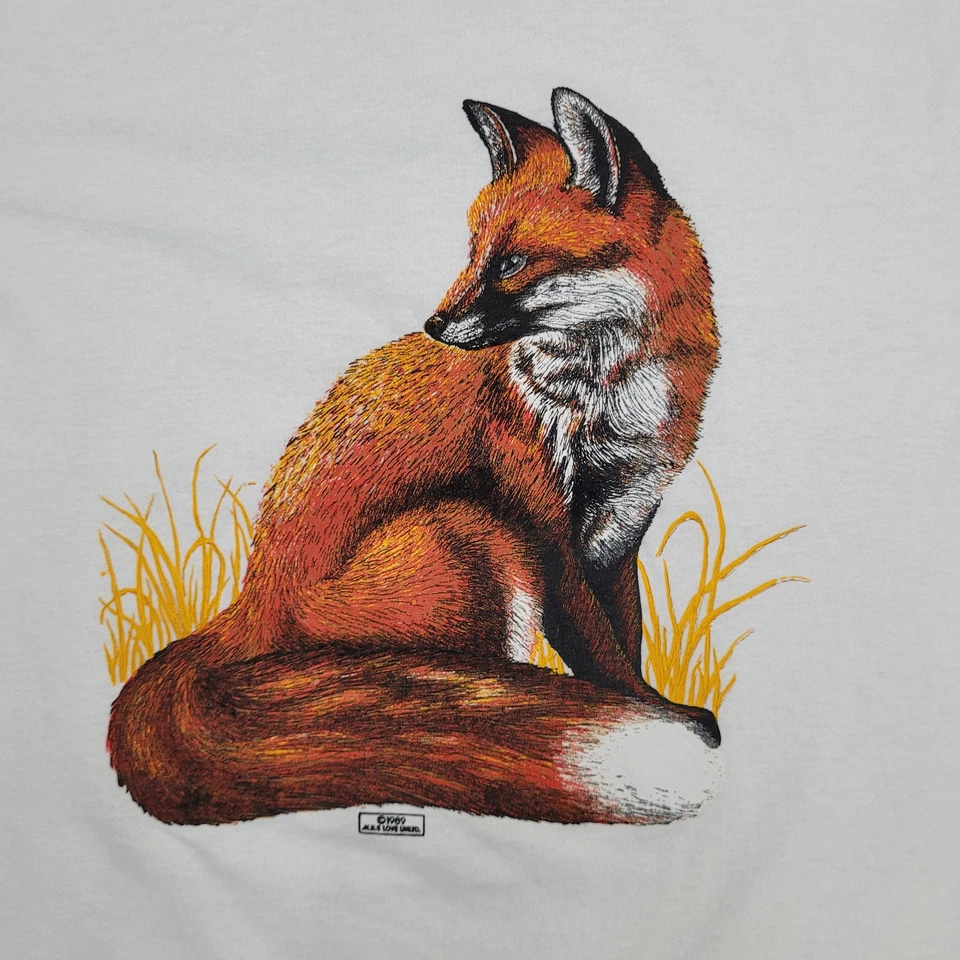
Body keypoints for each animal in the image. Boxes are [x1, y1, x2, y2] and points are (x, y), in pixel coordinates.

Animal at [107, 88, 722, 826]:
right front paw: (664, 718)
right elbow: (603, 655)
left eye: (510, 264)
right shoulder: (546, 531)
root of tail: (248, 604)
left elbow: (623, 641)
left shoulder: (621, 529)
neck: (609, 399)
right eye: (474, 252)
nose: (434, 325)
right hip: (473, 532)